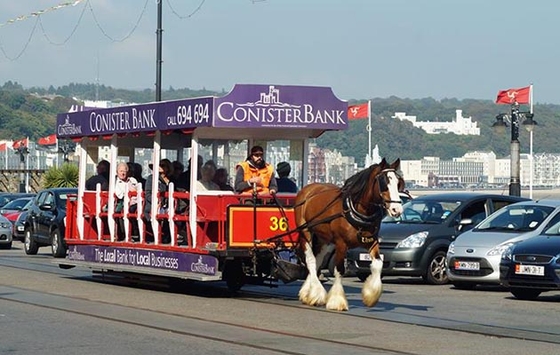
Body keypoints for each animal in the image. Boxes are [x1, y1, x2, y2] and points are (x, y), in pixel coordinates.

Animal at [294, 159, 402, 312]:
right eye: (384, 183)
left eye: (398, 183)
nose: (397, 210)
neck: (358, 209)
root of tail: (308, 188)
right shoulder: (341, 244)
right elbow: (339, 270)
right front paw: (337, 301)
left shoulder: (371, 241)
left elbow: (377, 264)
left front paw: (371, 296)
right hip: (306, 232)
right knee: (311, 260)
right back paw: (316, 293)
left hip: (324, 239)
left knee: (318, 260)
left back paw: (307, 293)